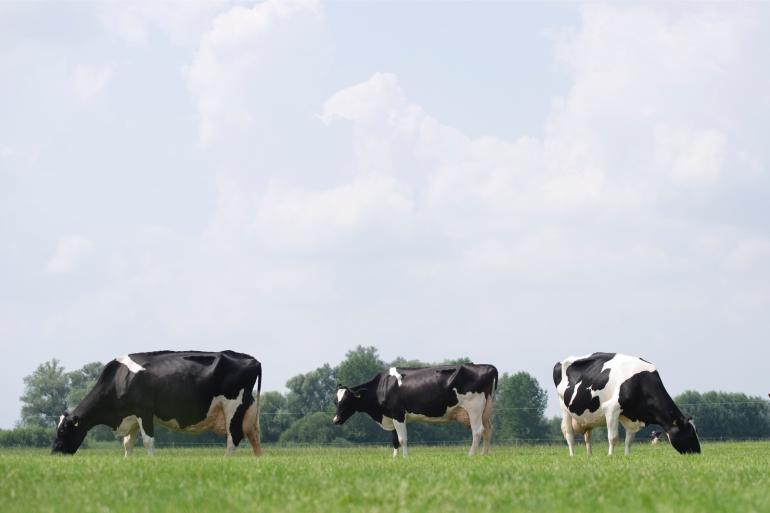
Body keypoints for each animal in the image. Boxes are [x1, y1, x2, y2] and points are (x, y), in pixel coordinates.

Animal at [51, 348, 260, 456]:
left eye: (62, 431)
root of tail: (251, 359)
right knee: (254, 438)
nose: (54, 454)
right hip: (248, 409)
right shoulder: (132, 416)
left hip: (233, 406)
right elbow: (128, 443)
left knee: (233, 438)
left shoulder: (144, 411)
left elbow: (148, 441)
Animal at [332, 364, 496, 456]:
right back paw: (484, 455)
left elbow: (402, 439)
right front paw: (395, 459)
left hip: (474, 407)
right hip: (485, 410)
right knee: (488, 430)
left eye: (346, 401)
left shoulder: (398, 413)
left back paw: (471, 455)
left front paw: (405, 458)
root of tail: (489, 366)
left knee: (478, 431)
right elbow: (394, 440)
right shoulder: (392, 415)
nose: (335, 420)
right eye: (335, 401)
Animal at [548, 352, 700, 456]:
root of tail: (560, 362)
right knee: (569, 435)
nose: (698, 453)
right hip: (564, 408)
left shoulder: (631, 417)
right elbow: (613, 437)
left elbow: (629, 440)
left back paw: (589, 456)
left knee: (587, 437)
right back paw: (572, 455)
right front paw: (610, 456)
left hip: (586, 418)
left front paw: (627, 456)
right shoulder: (611, 408)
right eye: (690, 433)